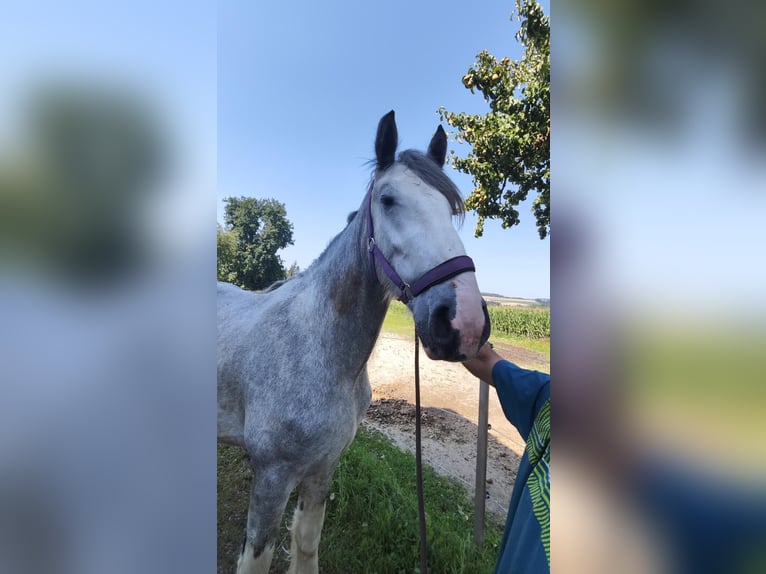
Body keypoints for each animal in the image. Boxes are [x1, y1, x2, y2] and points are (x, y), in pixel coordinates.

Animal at [217, 110, 491, 574]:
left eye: (451, 209)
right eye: (388, 199)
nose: (465, 323)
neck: (320, 352)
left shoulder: (322, 469)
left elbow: (306, 541)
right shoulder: (272, 476)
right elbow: (257, 556)